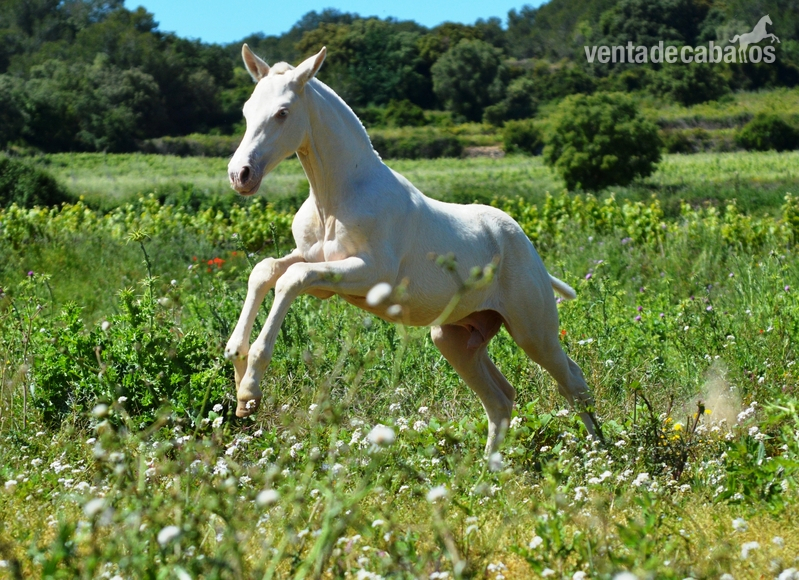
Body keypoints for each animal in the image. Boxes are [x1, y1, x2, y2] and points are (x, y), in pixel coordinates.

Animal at [224, 45, 602, 455]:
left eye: (283, 112)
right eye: (246, 110)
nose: (240, 175)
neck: (337, 198)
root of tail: (529, 248)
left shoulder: (369, 274)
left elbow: (291, 279)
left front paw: (251, 385)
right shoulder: (316, 263)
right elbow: (265, 270)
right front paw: (238, 370)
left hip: (533, 331)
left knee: (573, 382)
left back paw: (601, 452)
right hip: (456, 339)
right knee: (501, 398)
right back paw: (488, 469)